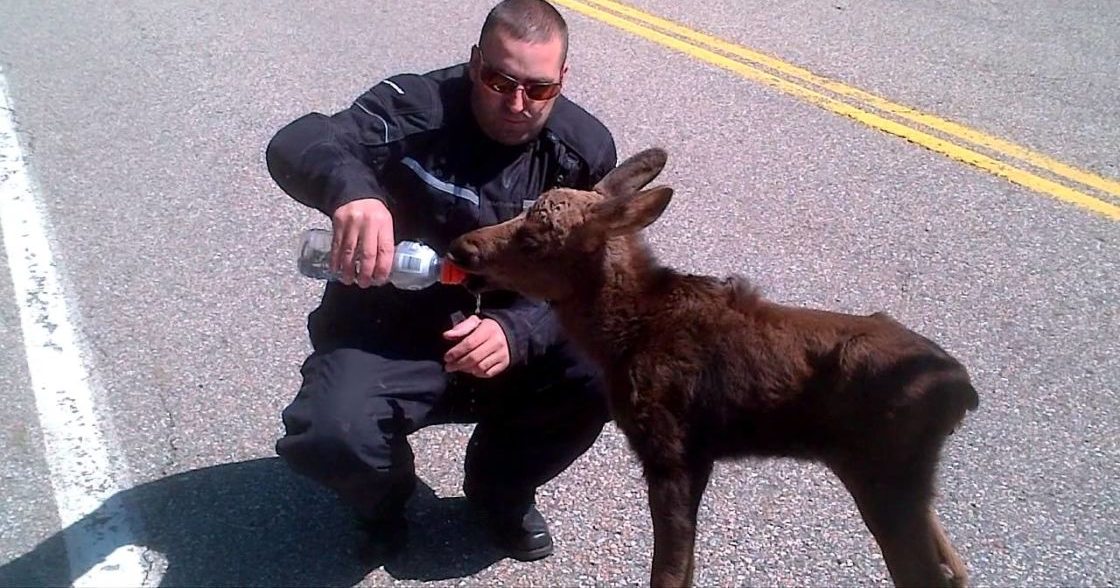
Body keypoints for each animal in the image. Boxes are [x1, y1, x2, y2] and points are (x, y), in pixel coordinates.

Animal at [447, 147, 979, 588]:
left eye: (534, 239)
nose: (461, 246)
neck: (623, 336)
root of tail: (964, 393)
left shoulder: (673, 452)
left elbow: (669, 571)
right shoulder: (695, 459)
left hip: (886, 479)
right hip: (900, 482)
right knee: (955, 568)